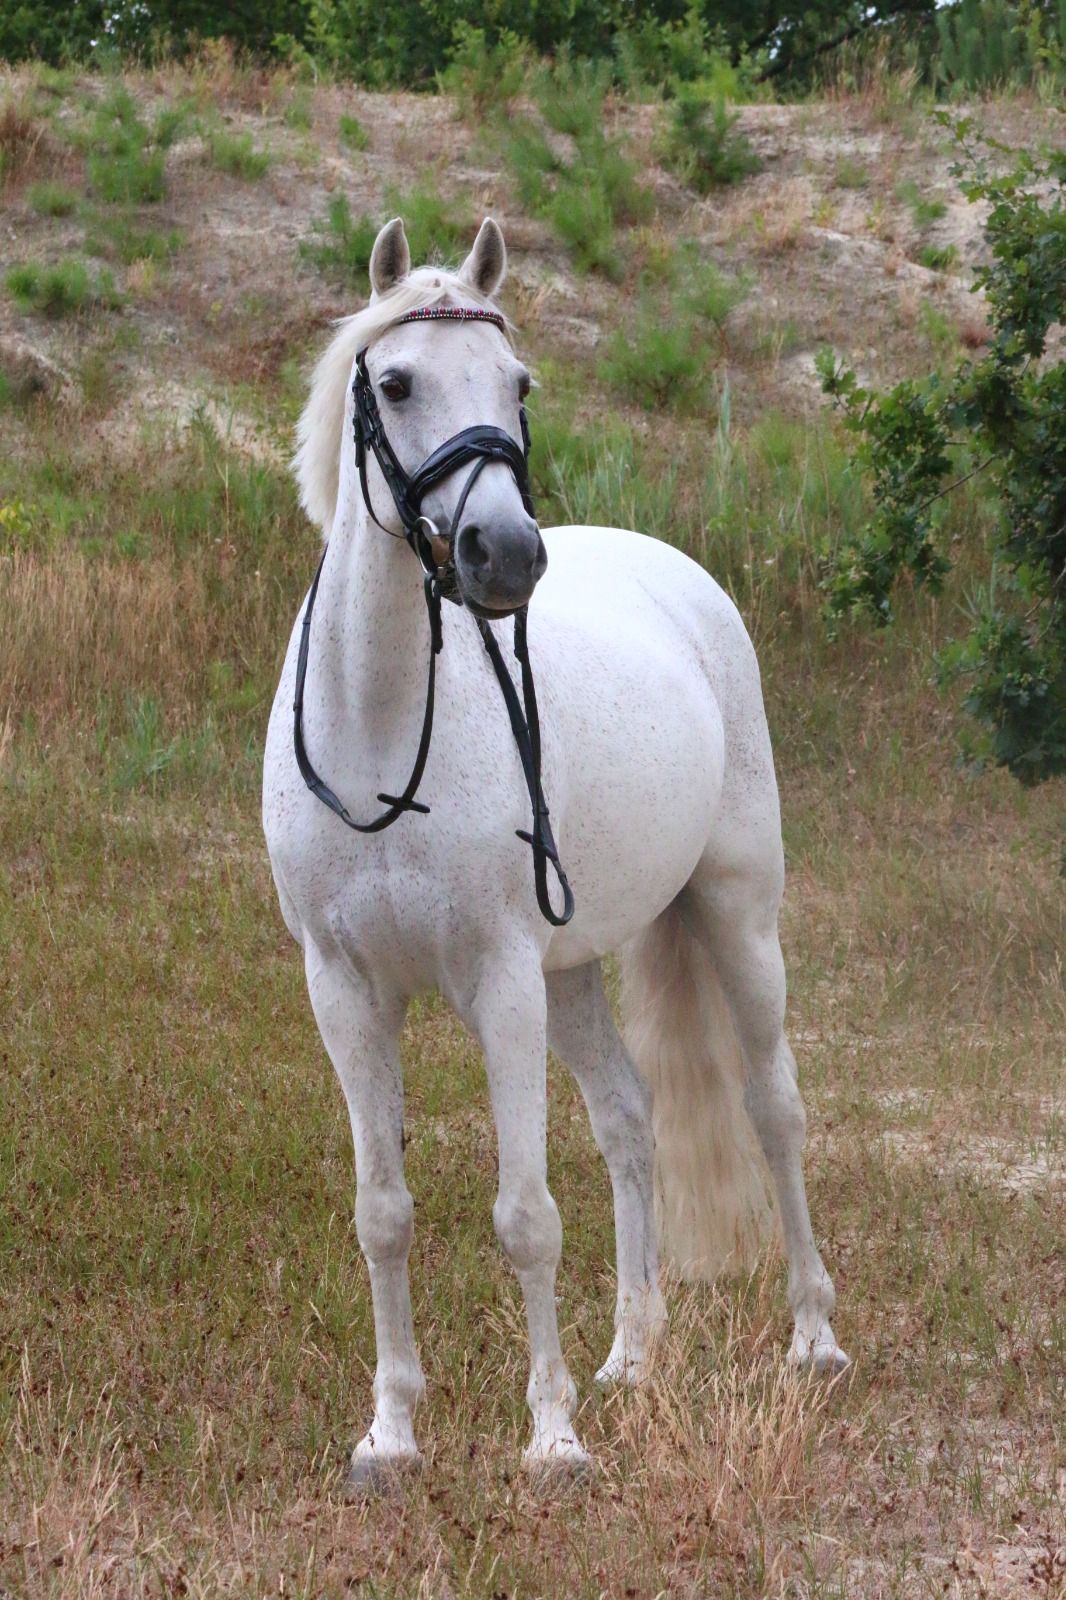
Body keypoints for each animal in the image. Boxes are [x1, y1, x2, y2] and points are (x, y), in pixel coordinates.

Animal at [262, 215, 848, 1491]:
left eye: (516, 384)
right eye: (395, 381)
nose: (505, 557)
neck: (383, 729)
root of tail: (673, 573)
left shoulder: (498, 983)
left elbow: (524, 1214)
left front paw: (551, 1437)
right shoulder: (344, 988)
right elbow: (383, 1211)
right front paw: (392, 1433)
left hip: (735, 916)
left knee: (773, 1108)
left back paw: (812, 1336)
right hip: (574, 972)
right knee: (630, 1121)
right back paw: (632, 1355)